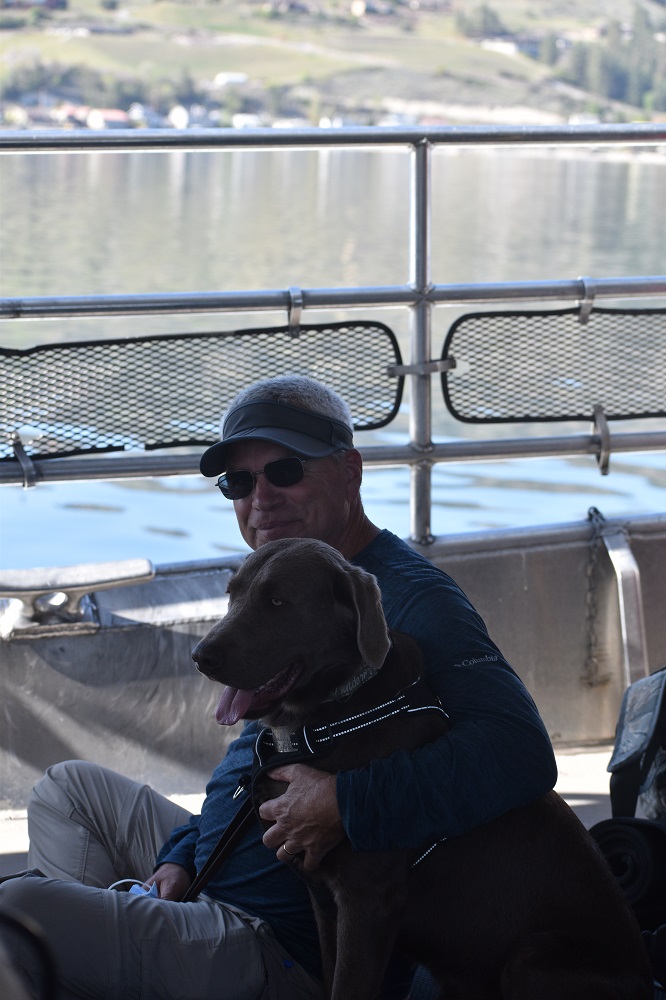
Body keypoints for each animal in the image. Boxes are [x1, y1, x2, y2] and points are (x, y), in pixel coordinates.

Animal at [192, 537, 653, 1000]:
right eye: (231, 595)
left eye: (277, 600)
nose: (199, 656)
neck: (330, 719)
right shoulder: (322, 902)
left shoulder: (367, 901)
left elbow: (347, 986)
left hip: (530, 961)